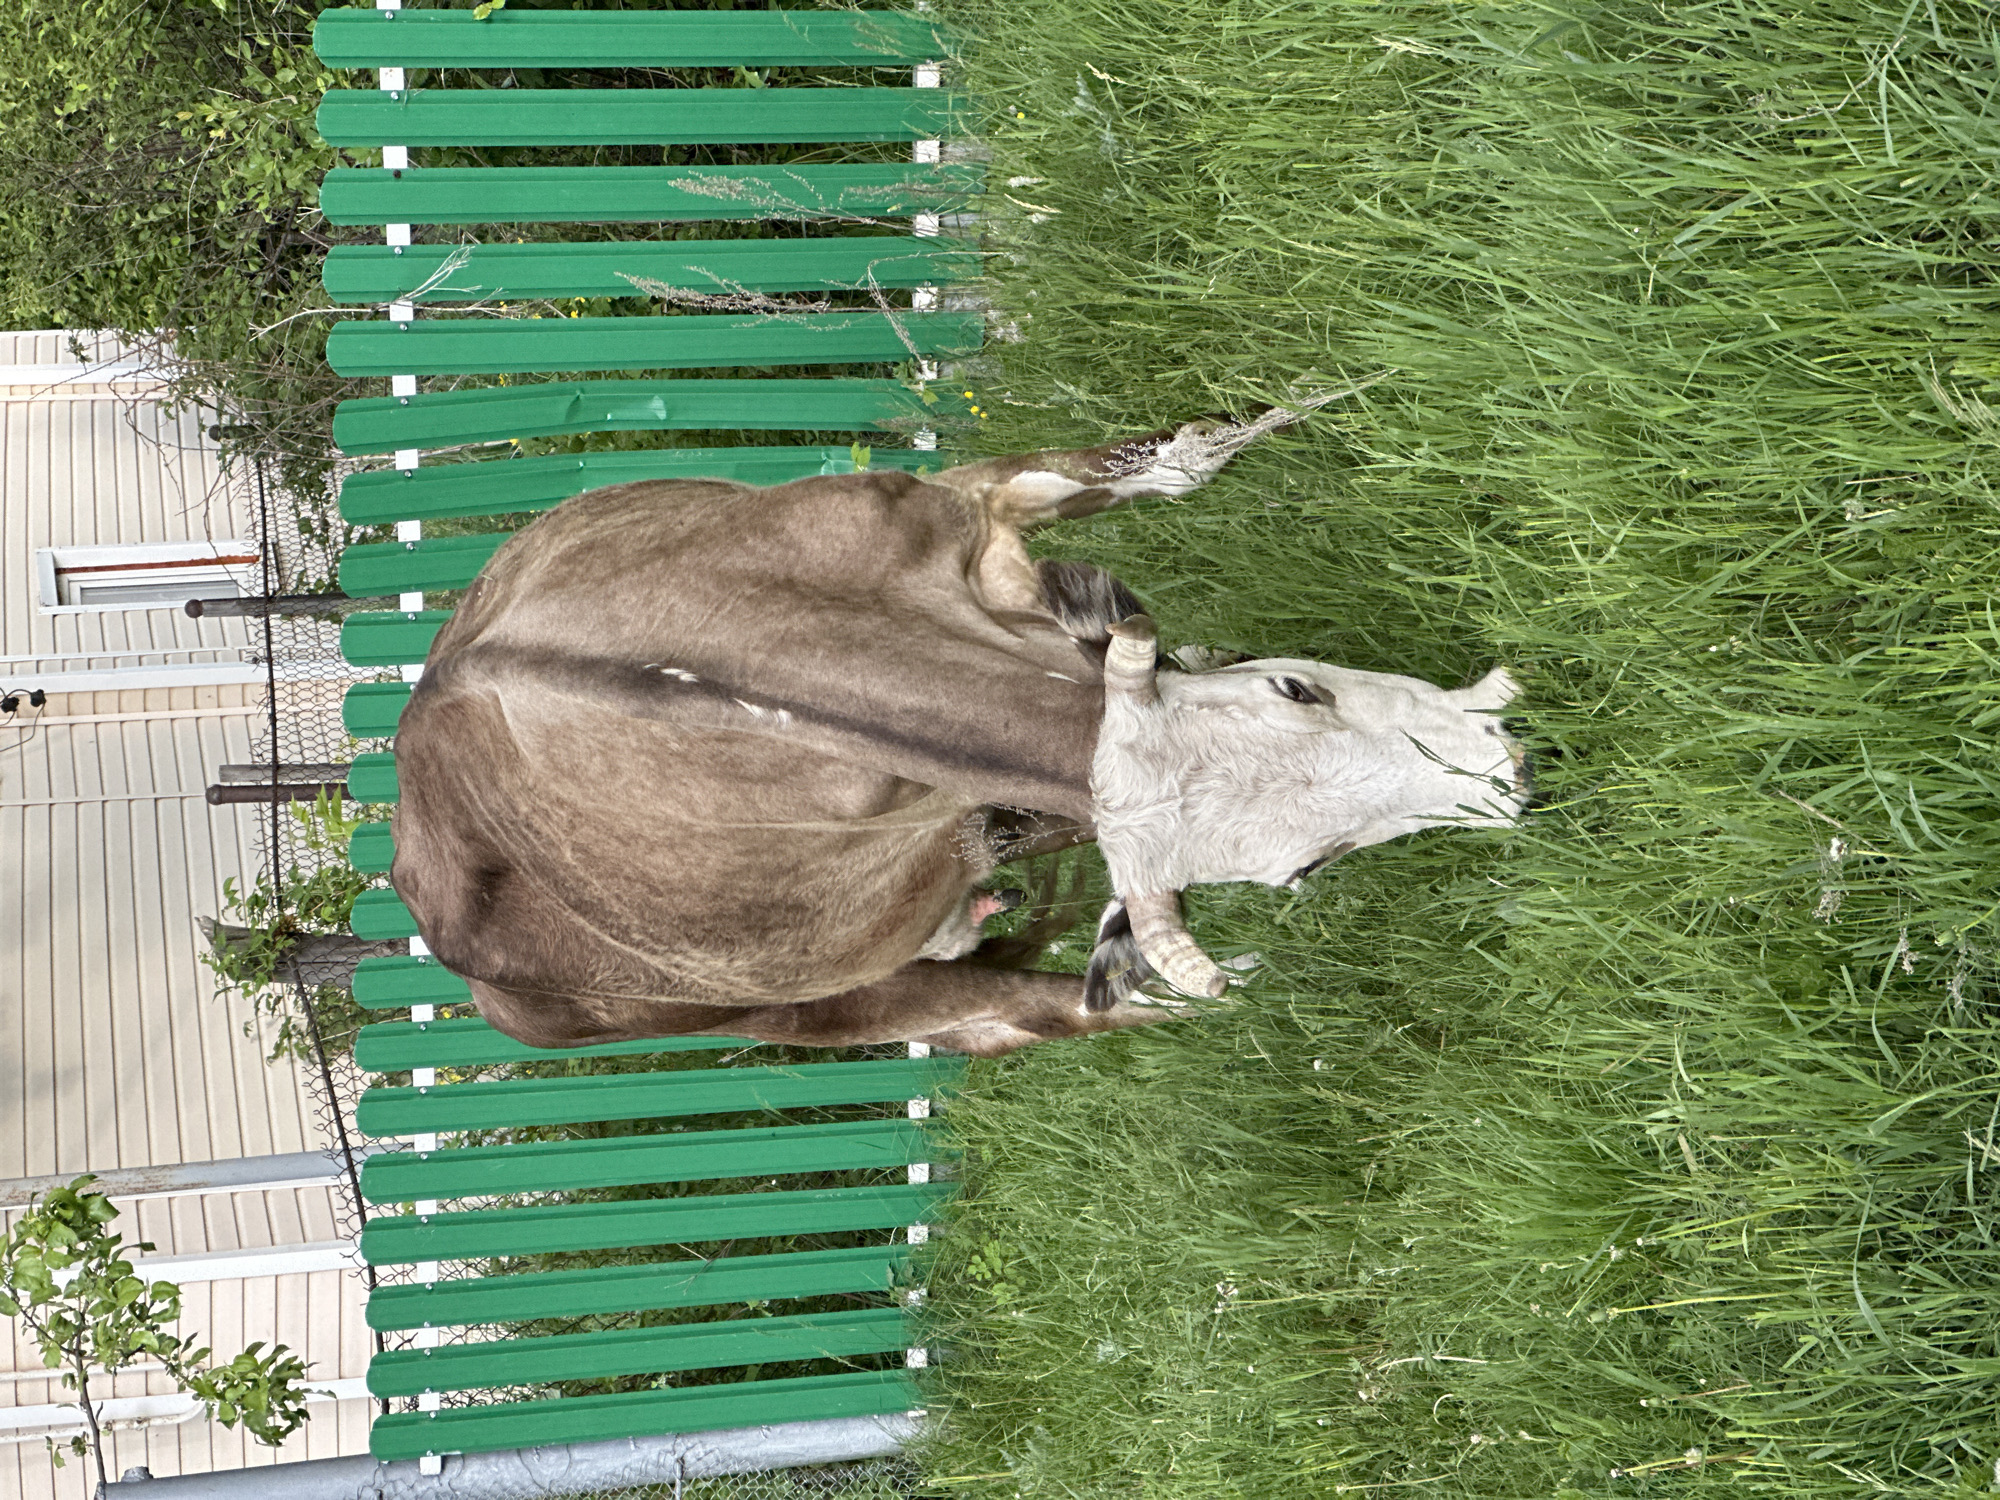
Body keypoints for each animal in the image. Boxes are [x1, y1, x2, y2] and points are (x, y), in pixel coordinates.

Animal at [388, 418, 1529, 1056]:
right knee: (1035, 1013)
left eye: (1301, 688)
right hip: (802, 1011)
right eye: (1306, 869)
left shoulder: (967, 516)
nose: (1508, 772)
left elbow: (1165, 467)